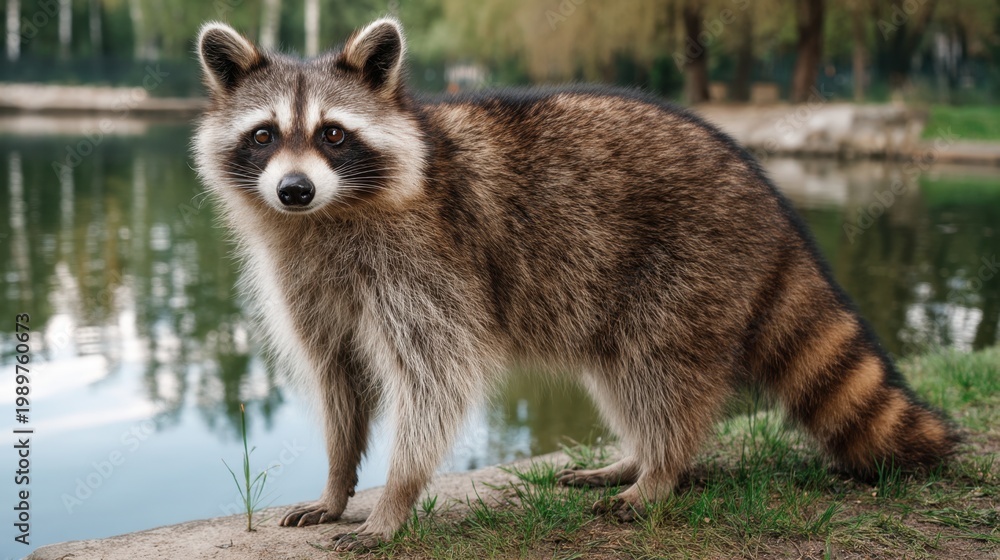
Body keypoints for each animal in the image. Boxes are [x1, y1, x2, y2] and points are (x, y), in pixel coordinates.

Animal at [194, 18, 957, 550]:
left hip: (690, 269)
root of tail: (771, 201)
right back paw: (635, 458)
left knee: (660, 373)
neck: (329, 216)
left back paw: (660, 471)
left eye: (332, 134)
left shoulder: (428, 264)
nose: (293, 190)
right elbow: (339, 377)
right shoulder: (307, 276)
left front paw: (394, 501)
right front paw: (336, 482)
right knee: (623, 375)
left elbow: (436, 380)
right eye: (263, 135)